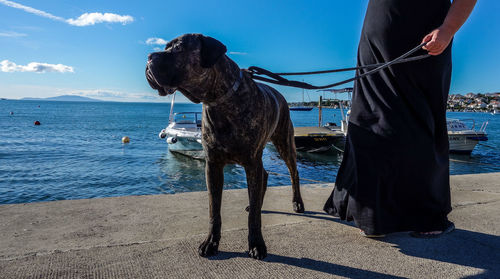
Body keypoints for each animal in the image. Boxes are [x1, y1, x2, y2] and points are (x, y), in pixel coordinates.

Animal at [145, 34, 304, 262]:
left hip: (284, 143)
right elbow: (214, 210)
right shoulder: (213, 165)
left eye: (179, 48)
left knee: (294, 174)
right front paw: (211, 242)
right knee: (264, 176)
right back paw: (256, 203)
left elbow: (254, 218)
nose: (149, 56)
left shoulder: (251, 162)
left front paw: (256, 244)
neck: (220, 100)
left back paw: (297, 203)